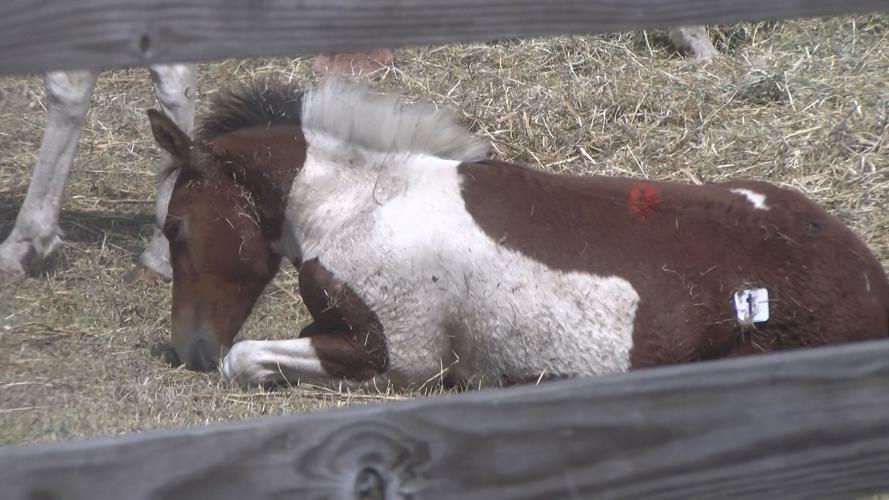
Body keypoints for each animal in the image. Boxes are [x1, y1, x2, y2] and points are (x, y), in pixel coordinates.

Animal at [147, 77, 889, 388]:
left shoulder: (396, 356)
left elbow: (247, 360)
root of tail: (865, 274)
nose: (190, 348)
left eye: (174, 225)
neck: (364, 203)